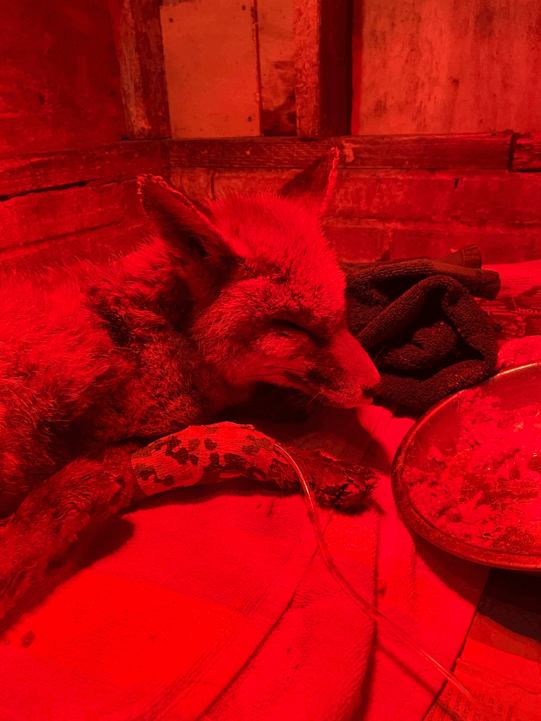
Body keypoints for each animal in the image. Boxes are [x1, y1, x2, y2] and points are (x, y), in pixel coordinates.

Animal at [0, 149, 380, 619]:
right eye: (291, 327)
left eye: (343, 312)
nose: (376, 387)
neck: (172, 333)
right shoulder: (131, 428)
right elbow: (274, 445)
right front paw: (321, 464)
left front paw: (287, 406)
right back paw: (70, 498)